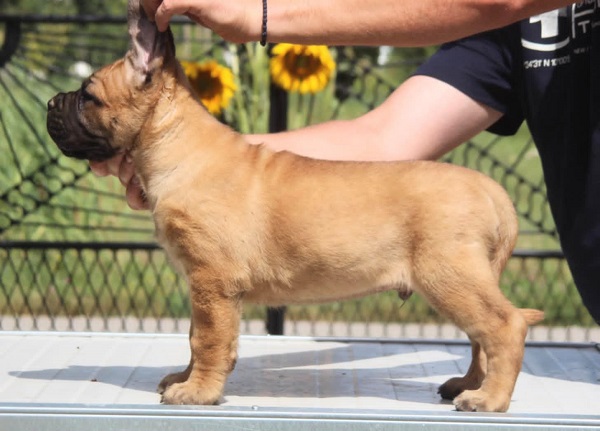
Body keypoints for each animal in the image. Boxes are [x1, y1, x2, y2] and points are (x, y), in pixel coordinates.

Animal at [47, 0, 544, 412]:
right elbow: (196, 336)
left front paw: (197, 391)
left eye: (88, 95)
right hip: (467, 279)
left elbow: (207, 339)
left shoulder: (212, 281)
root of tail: (494, 191)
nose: (51, 102)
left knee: (504, 327)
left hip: (449, 275)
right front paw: (185, 378)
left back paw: (488, 399)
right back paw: (468, 385)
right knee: (482, 335)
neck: (177, 144)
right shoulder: (205, 286)